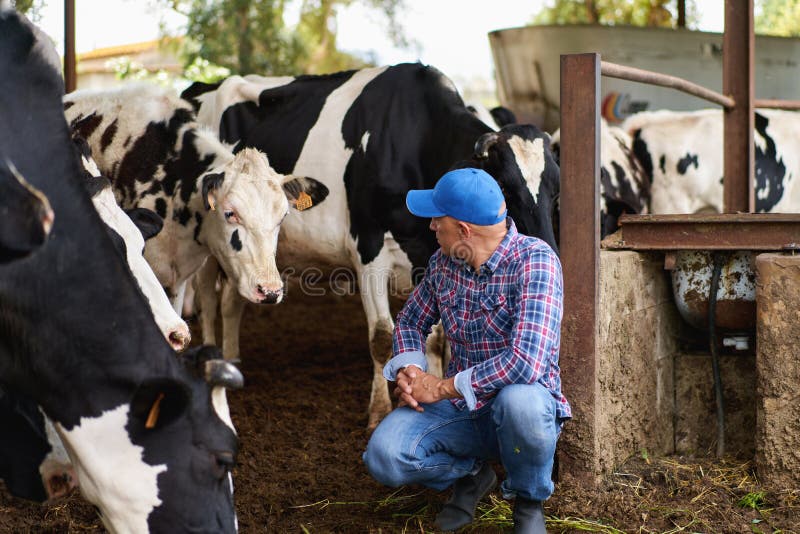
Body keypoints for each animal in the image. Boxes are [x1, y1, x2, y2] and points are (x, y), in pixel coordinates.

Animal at [182, 63, 560, 432]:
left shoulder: (428, 256)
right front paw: (379, 411)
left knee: (233, 301)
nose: (549, 253)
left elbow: (435, 339)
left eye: (556, 191)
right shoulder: (369, 248)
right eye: (504, 188)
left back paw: (233, 361)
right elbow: (381, 337)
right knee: (208, 301)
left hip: (248, 257)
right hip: (210, 243)